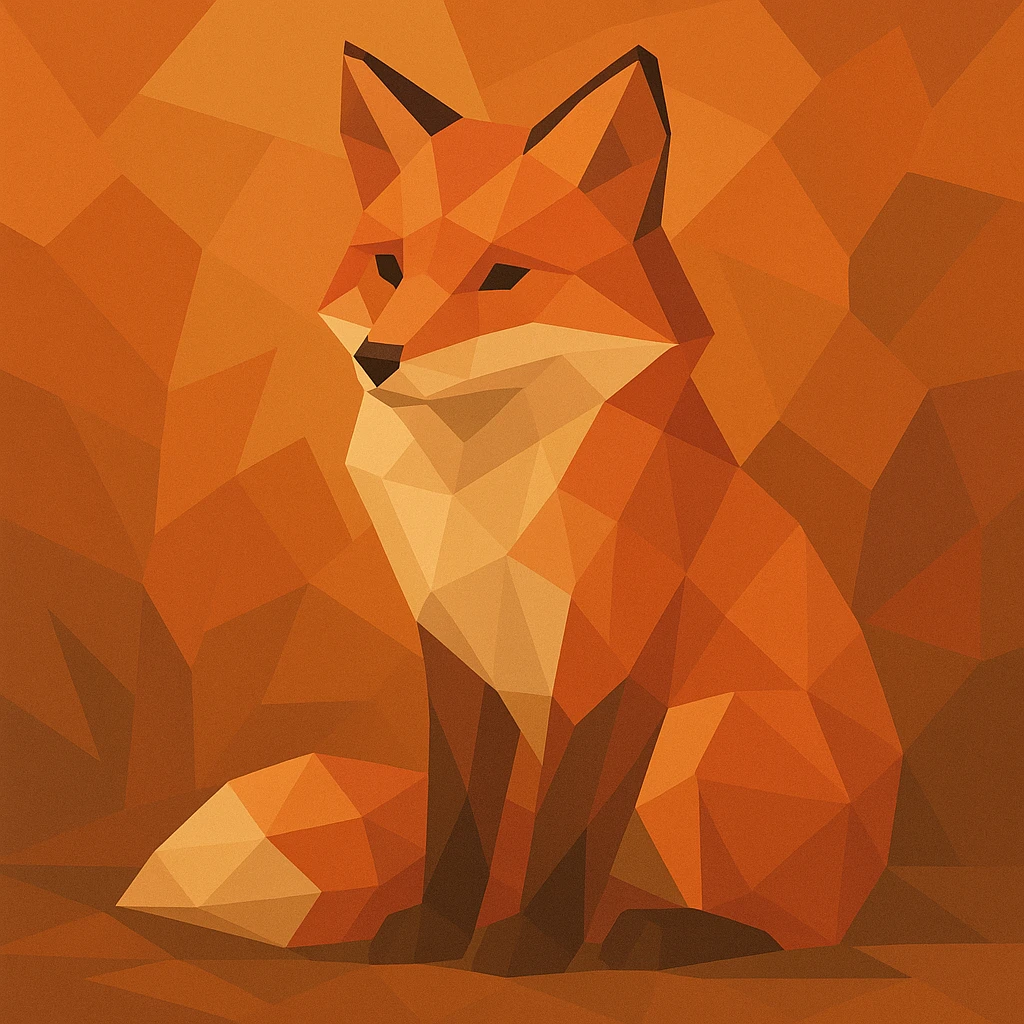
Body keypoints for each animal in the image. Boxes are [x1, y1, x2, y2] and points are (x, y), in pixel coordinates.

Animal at [121, 44, 901, 976]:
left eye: (501, 275)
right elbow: (460, 819)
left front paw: (530, 943)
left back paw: (652, 934)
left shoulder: (613, 665)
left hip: (697, 757)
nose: (378, 357)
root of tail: (873, 864)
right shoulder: (459, 656)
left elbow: (569, 827)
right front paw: (435, 932)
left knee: (789, 928)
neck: (481, 498)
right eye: (389, 267)